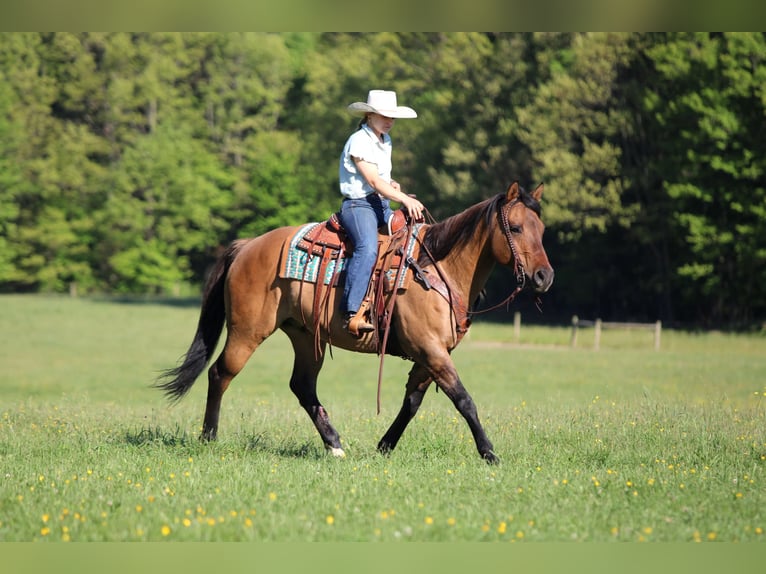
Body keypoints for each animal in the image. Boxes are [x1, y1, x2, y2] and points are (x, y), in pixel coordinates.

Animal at [156, 181, 554, 463]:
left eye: (542, 229)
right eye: (516, 227)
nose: (543, 277)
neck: (437, 268)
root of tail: (248, 245)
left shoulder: (431, 355)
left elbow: (412, 402)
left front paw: (384, 446)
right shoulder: (431, 350)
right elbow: (464, 400)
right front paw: (489, 453)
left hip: (306, 337)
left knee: (303, 387)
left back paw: (334, 444)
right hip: (246, 332)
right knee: (220, 373)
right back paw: (209, 437)